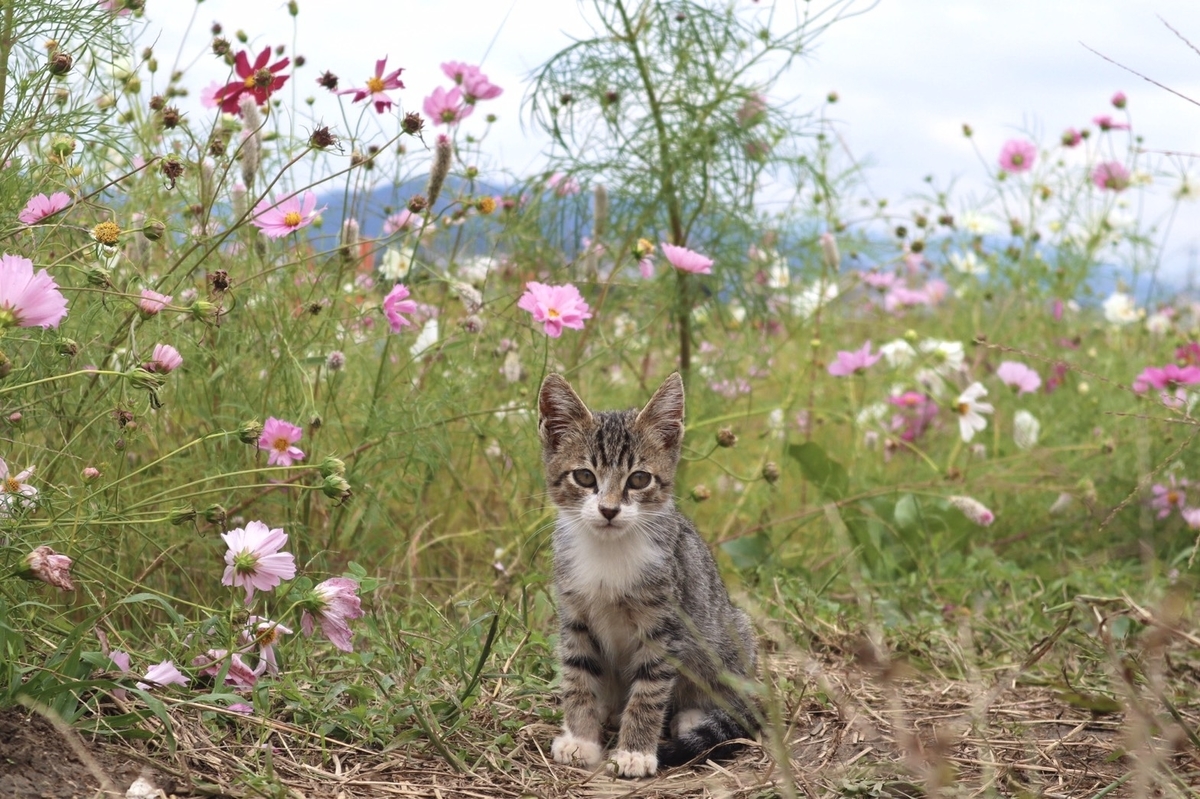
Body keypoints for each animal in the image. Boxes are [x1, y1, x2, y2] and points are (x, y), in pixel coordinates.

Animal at [537, 369, 753, 772]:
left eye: (638, 479)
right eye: (584, 477)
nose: (608, 510)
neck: (608, 552)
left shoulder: (665, 625)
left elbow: (649, 691)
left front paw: (635, 751)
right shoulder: (574, 616)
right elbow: (578, 676)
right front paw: (580, 738)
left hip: (732, 635)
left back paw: (693, 717)